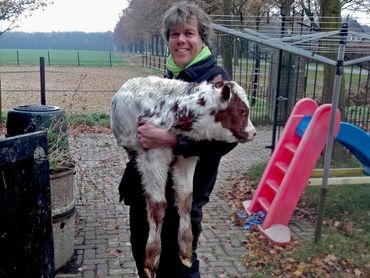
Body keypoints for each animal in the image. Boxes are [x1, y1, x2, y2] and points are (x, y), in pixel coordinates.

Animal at [110, 76, 254, 278]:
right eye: (241, 110)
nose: (253, 132)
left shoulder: (187, 158)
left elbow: (186, 199)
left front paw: (186, 249)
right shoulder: (152, 156)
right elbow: (158, 206)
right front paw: (152, 257)